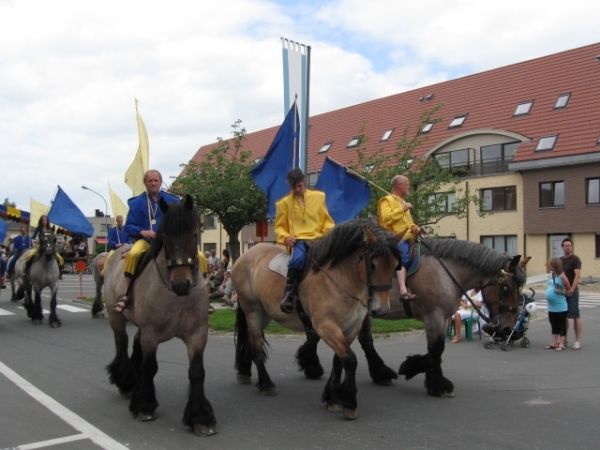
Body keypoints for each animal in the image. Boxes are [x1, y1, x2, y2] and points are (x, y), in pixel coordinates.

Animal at [102, 194, 217, 436]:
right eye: (164, 237)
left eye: (194, 234)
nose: (181, 284)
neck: (177, 297)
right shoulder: (151, 334)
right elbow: (150, 366)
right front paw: (144, 406)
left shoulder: (198, 334)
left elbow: (196, 371)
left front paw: (201, 418)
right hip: (116, 318)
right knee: (121, 342)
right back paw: (126, 381)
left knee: (133, 343)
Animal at [232, 218, 400, 418]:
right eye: (372, 265)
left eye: (396, 265)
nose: (381, 309)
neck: (340, 279)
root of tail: (247, 254)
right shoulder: (326, 326)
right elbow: (350, 360)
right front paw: (349, 402)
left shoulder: (351, 327)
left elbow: (339, 361)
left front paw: (333, 398)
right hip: (253, 311)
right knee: (257, 345)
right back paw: (266, 384)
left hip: (264, 314)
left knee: (251, 340)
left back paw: (245, 372)